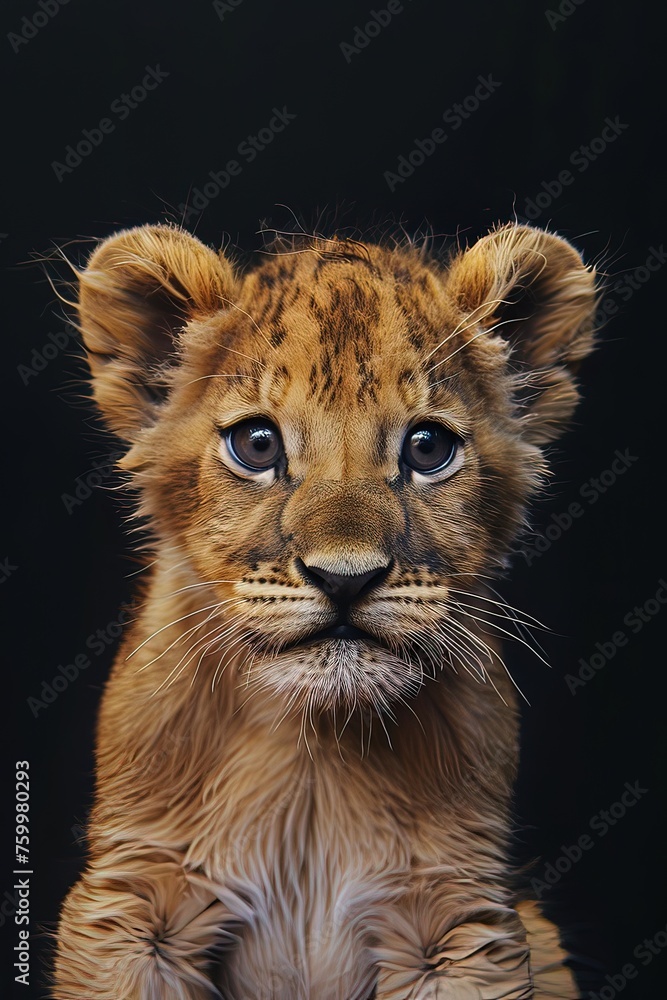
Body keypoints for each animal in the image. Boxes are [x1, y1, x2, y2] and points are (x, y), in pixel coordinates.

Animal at [53, 221, 597, 999]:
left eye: (428, 448)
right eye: (257, 445)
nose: (345, 580)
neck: (314, 751)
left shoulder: (458, 913)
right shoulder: (132, 896)